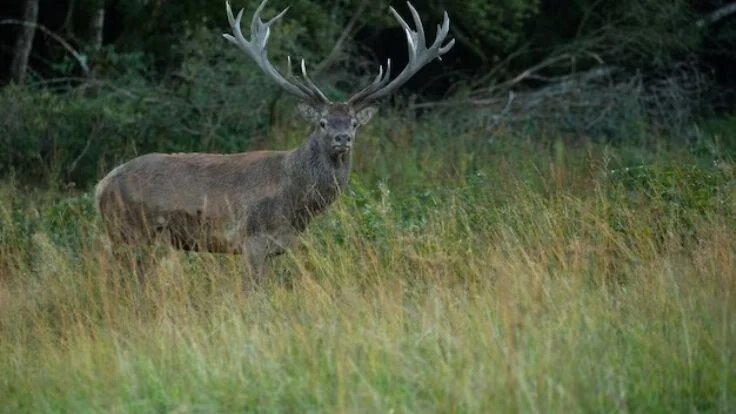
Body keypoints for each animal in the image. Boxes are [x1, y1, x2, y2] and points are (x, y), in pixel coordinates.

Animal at [95, 0, 454, 284]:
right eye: (323, 122)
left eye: (354, 123)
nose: (342, 138)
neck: (294, 203)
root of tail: (101, 186)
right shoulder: (250, 240)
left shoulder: (277, 248)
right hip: (129, 232)